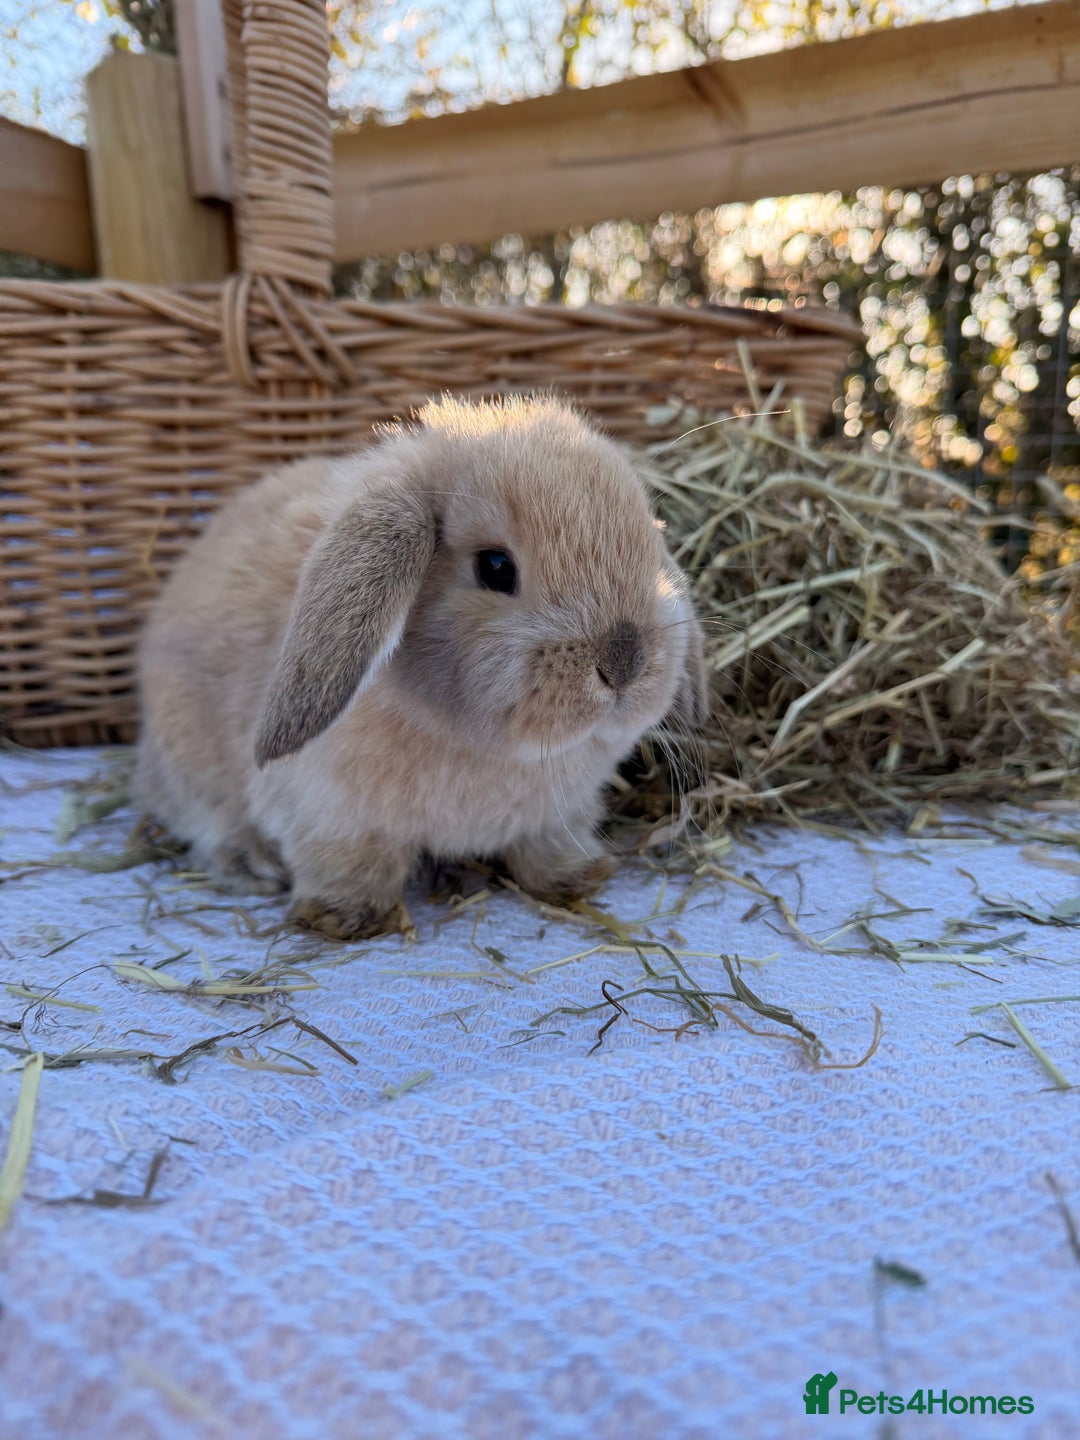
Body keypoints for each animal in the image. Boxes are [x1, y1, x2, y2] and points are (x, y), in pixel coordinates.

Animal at [135, 395, 707, 940]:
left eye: (650, 545)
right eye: (495, 567)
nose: (625, 661)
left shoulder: (558, 815)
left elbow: (547, 849)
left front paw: (579, 877)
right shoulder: (330, 816)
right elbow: (348, 864)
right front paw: (346, 917)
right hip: (191, 768)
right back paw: (253, 866)